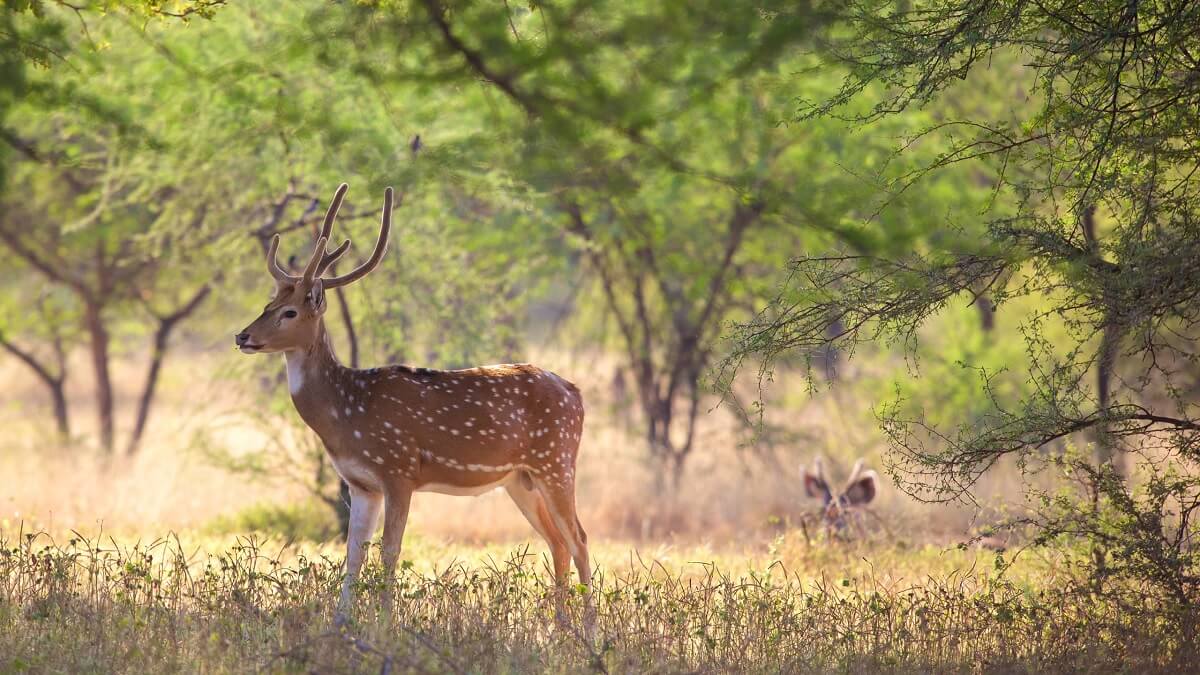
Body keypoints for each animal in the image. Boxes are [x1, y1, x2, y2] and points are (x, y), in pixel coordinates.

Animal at [234, 182, 590, 614]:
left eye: (288, 312)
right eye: (266, 304)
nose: (242, 336)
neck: (347, 414)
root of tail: (575, 392)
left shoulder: (399, 469)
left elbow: (390, 551)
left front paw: (384, 622)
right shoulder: (360, 483)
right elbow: (353, 555)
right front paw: (341, 623)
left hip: (556, 461)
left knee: (579, 538)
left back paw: (589, 624)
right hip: (520, 479)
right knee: (557, 541)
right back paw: (561, 624)